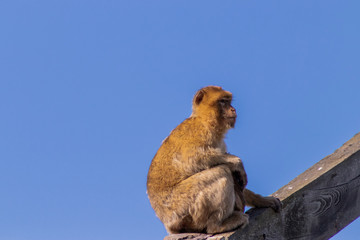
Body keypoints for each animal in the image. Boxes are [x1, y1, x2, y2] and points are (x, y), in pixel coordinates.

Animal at [146, 86, 282, 234]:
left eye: (228, 101)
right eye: (222, 101)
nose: (233, 109)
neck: (204, 120)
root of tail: (168, 224)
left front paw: (261, 200)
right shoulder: (198, 131)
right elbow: (192, 159)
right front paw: (237, 162)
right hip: (182, 208)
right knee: (222, 170)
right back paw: (217, 225)